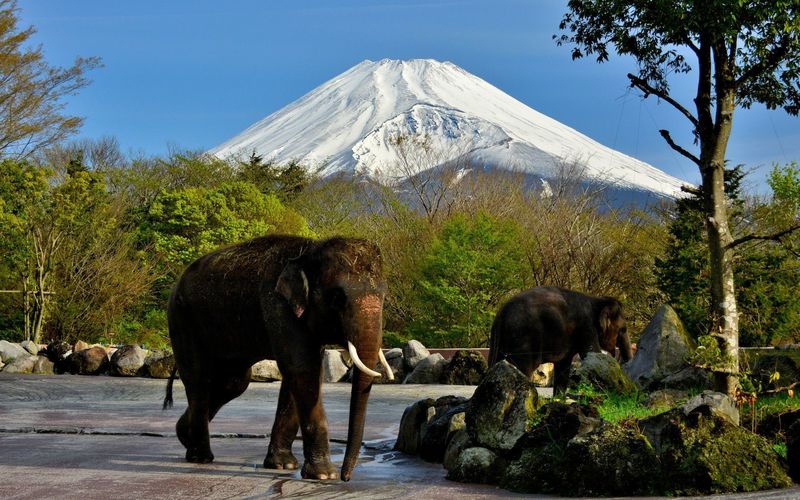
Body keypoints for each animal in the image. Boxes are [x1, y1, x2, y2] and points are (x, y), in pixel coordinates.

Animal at [488, 288, 632, 392]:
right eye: (623, 329)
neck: (596, 300)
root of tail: (501, 315)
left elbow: (563, 365)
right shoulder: (586, 327)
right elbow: (592, 354)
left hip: (499, 341)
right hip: (523, 339)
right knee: (522, 368)